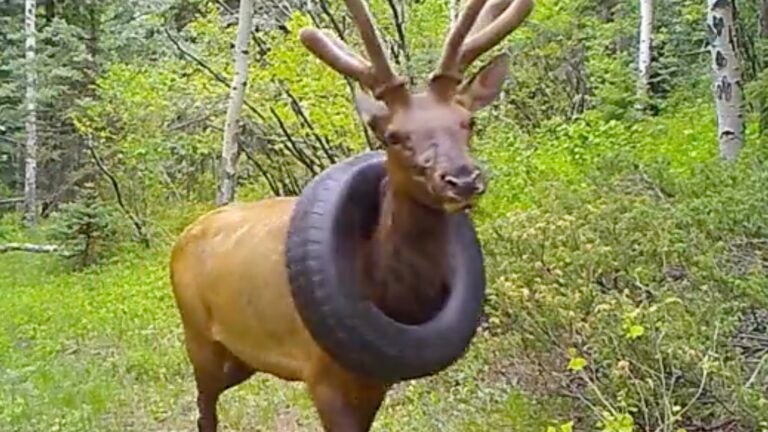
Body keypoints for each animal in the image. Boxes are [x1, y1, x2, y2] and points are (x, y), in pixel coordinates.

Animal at [168, 0, 534, 431]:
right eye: (393, 136)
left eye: (468, 121)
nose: (462, 179)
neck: (388, 290)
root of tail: (184, 236)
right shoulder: (322, 373)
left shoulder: (376, 378)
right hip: (197, 334)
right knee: (204, 406)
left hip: (244, 355)